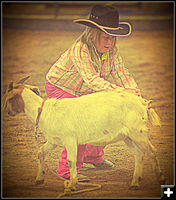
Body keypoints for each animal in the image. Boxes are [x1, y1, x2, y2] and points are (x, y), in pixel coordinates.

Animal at [2, 76, 166, 191]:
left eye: (7, 98)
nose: (8, 112)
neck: (44, 112)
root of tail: (143, 103)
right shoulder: (53, 140)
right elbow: (40, 152)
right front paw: (39, 179)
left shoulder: (70, 139)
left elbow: (71, 160)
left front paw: (72, 185)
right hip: (128, 136)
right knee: (139, 154)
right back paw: (135, 183)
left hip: (138, 132)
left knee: (152, 151)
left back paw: (160, 178)